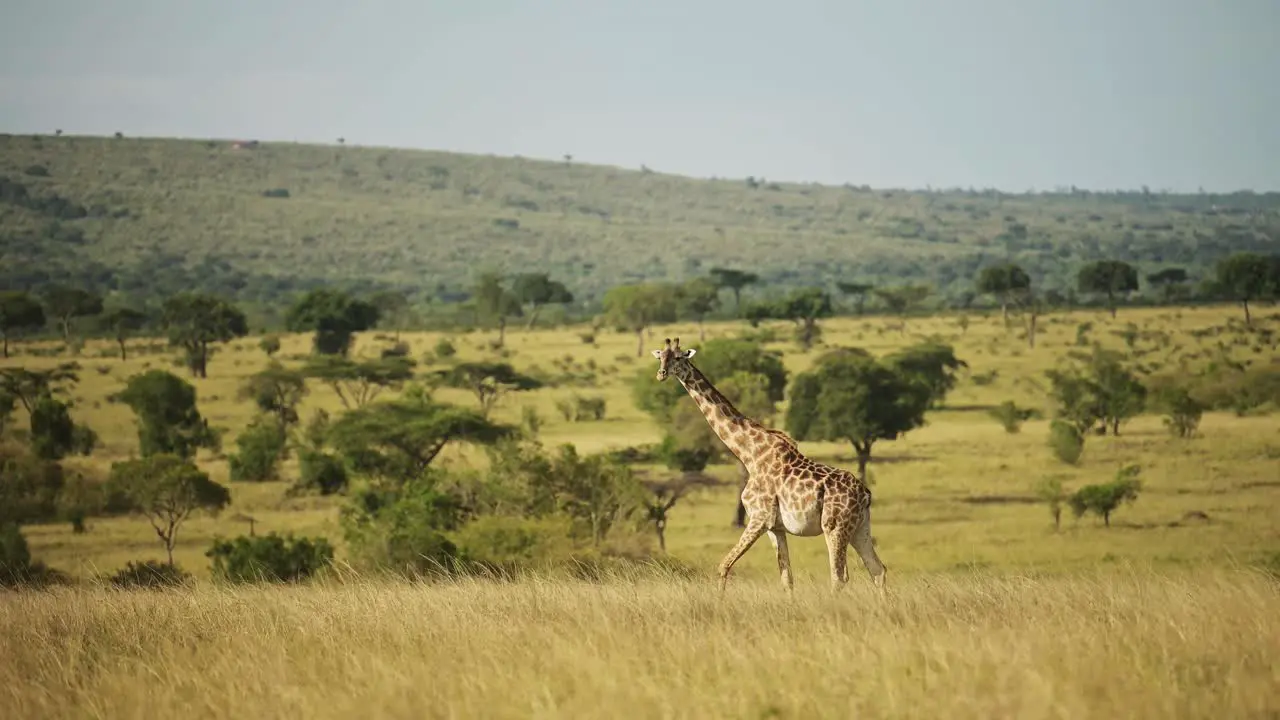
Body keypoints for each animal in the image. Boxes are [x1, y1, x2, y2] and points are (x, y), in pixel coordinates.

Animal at [655, 335, 885, 589]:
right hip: (859, 527)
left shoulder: (758, 517)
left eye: (678, 357)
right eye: (660, 356)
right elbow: (786, 578)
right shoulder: (775, 527)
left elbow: (724, 566)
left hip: (834, 526)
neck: (750, 455)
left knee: (840, 576)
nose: (661, 374)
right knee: (878, 570)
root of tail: (865, 494)